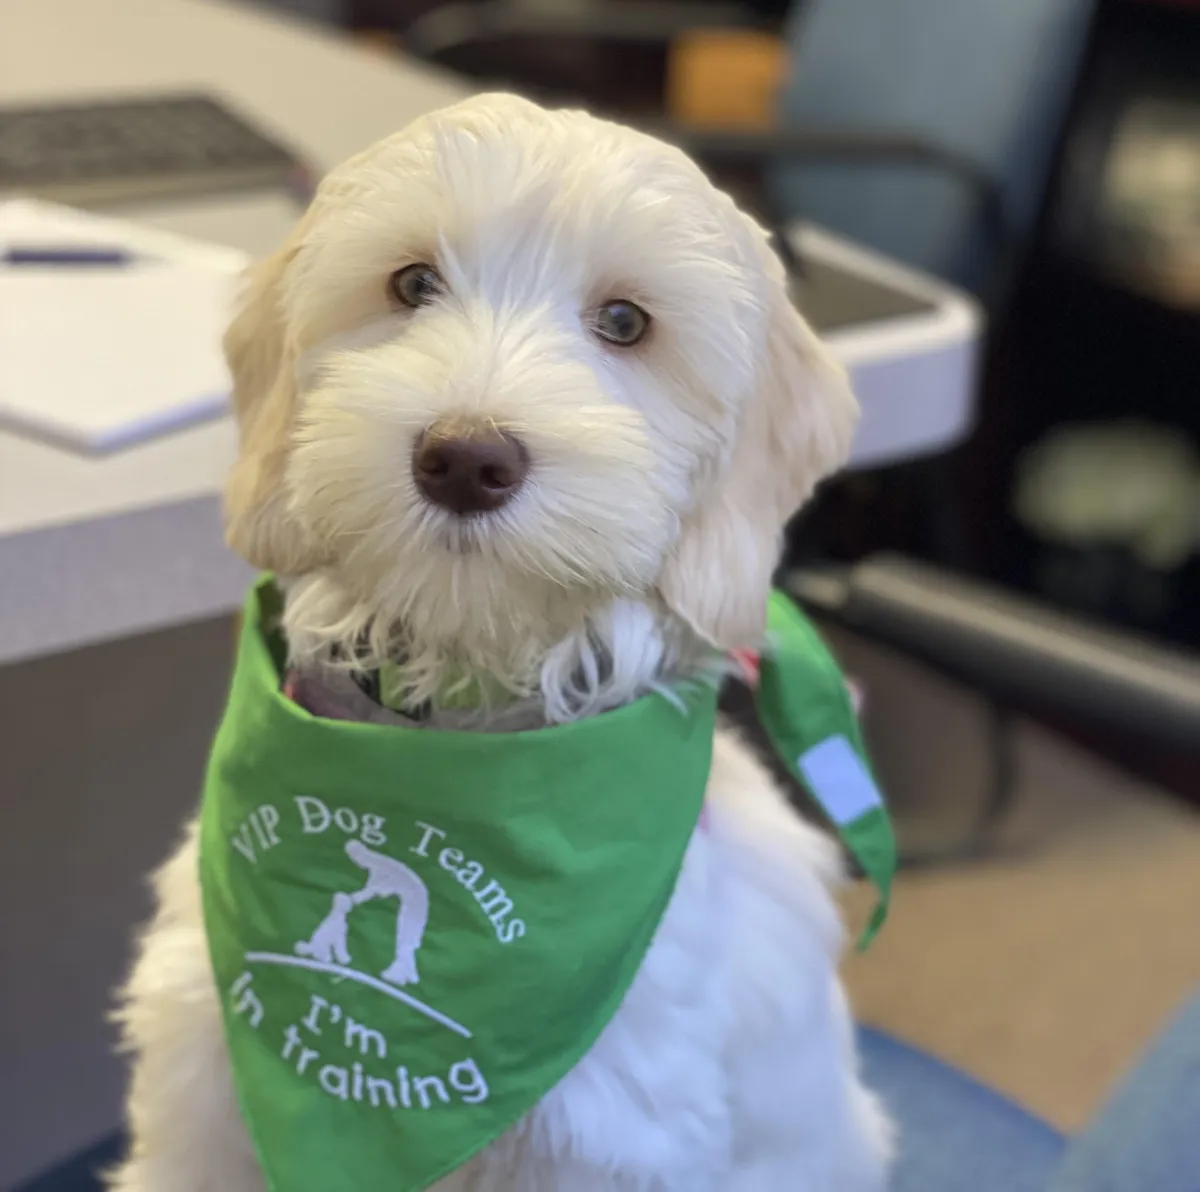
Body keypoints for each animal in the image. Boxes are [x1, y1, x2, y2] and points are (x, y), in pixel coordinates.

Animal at [112, 93, 892, 1190]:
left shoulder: (607, 1134)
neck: (455, 720)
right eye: (411, 283)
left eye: (625, 322)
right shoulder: (201, 1081)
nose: (465, 458)